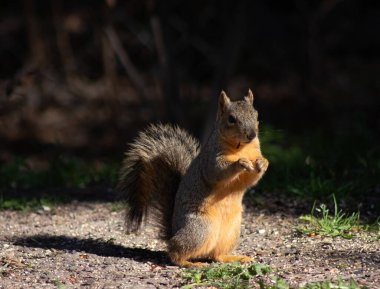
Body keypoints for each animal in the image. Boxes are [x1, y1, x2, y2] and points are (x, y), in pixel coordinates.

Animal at [117, 89, 268, 266]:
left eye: (256, 114)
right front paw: (240, 163)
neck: (241, 148)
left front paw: (263, 163)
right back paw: (189, 263)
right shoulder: (210, 160)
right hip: (200, 228)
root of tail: (173, 230)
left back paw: (234, 257)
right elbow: (217, 172)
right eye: (231, 119)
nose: (252, 135)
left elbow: (251, 180)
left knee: (216, 255)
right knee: (175, 251)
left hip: (231, 232)